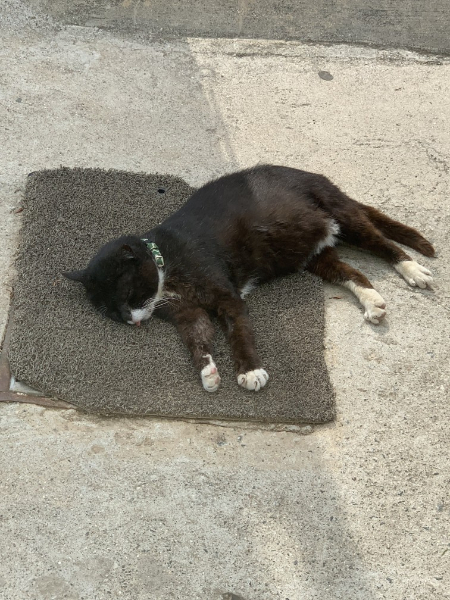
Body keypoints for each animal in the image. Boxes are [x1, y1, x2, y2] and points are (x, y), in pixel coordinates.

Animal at [63, 164, 432, 394]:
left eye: (127, 295)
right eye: (109, 312)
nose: (128, 319)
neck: (167, 271)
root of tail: (315, 176)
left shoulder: (227, 298)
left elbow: (239, 332)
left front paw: (250, 372)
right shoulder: (187, 314)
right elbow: (198, 338)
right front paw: (208, 373)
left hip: (342, 214)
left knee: (383, 244)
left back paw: (413, 270)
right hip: (313, 255)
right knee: (351, 272)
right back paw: (373, 302)